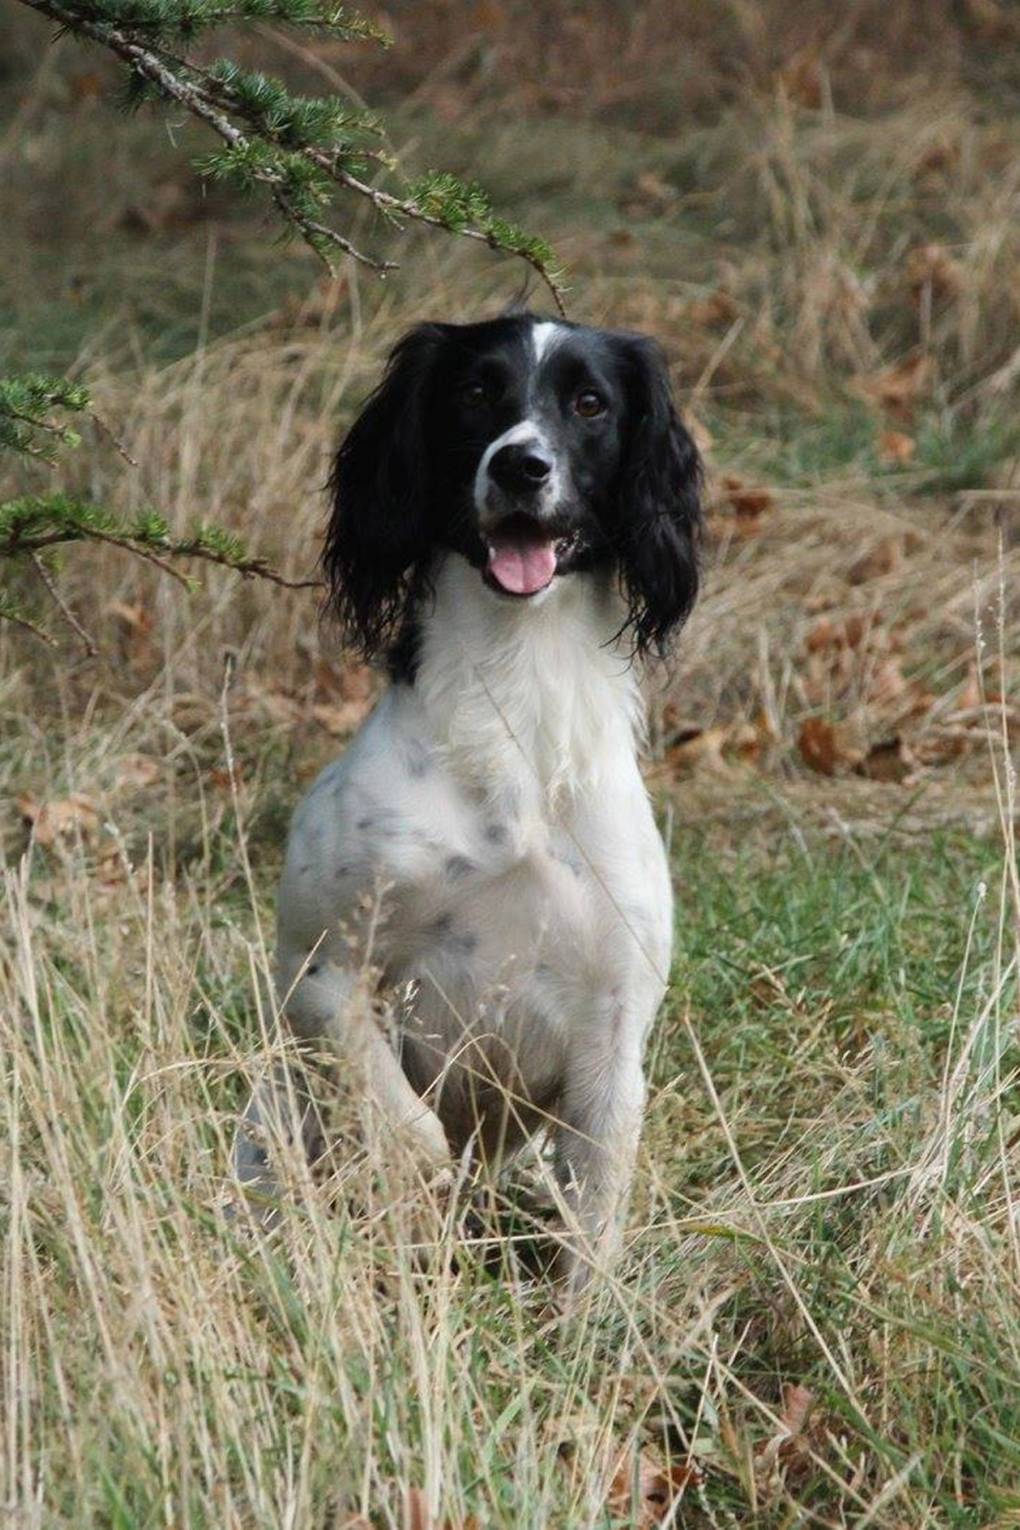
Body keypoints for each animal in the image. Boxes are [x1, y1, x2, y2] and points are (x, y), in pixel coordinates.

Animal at [237, 310, 703, 1291]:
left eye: (590, 403)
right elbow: (409, 1131)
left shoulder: (615, 1025)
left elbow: (597, 1214)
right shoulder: (322, 973)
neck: (518, 700)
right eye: (476, 391)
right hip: (270, 1119)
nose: (521, 465)